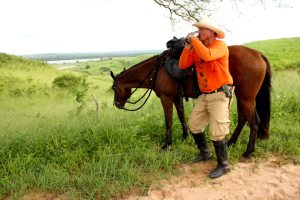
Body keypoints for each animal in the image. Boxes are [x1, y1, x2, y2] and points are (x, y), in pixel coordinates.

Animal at [110, 38, 272, 159]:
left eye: (114, 88)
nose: (117, 104)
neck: (156, 71)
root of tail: (258, 54)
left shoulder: (166, 98)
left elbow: (169, 121)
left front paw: (167, 145)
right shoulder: (176, 97)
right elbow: (181, 117)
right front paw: (184, 137)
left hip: (246, 97)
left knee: (254, 121)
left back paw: (248, 151)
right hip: (242, 96)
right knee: (243, 119)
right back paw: (231, 142)